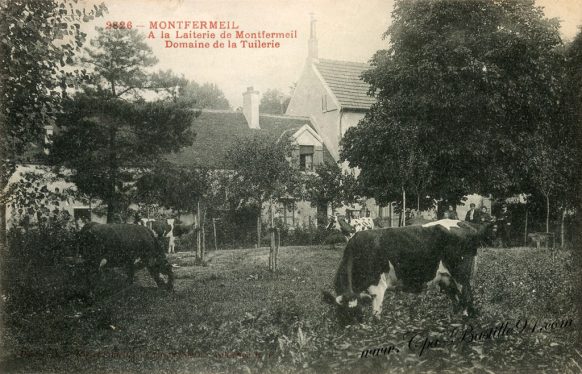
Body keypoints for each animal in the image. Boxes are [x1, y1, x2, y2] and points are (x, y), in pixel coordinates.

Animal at [324, 221, 492, 322]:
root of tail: (465, 224)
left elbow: (376, 317)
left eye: (356, 313)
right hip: (447, 280)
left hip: (461, 276)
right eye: (341, 313)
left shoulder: (377, 287)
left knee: (468, 300)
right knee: (458, 301)